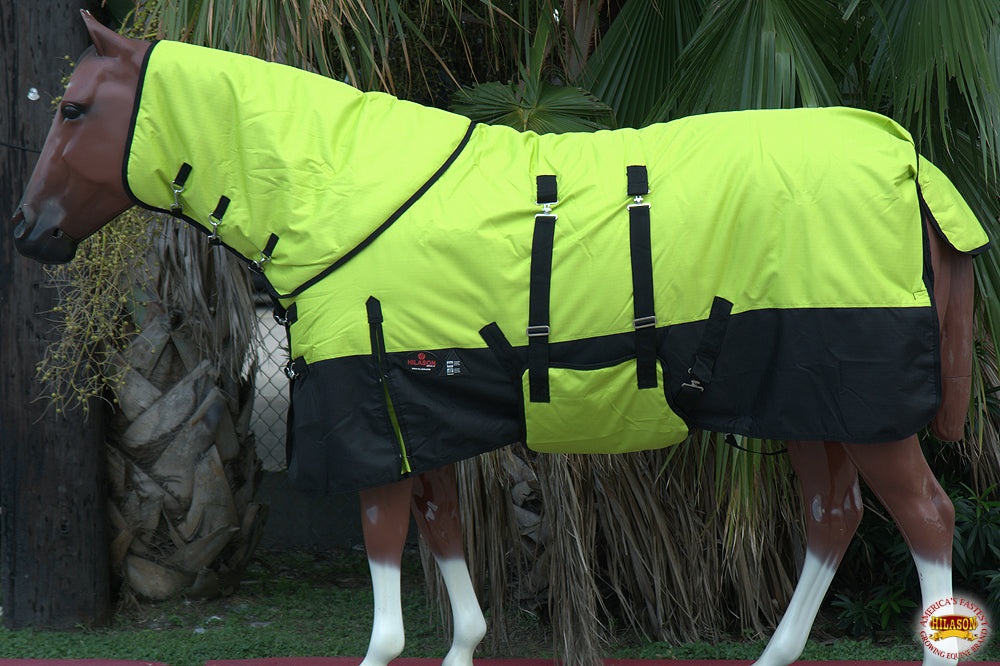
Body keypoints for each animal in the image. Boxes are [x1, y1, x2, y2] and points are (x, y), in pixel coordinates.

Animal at [12, 11, 985, 666]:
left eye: (74, 108)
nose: (28, 230)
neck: (339, 193)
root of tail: (905, 155)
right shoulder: (418, 417)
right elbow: (442, 539)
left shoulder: (374, 419)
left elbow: (386, 580)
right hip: (811, 404)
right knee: (834, 516)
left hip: (860, 405)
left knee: (928, 518)